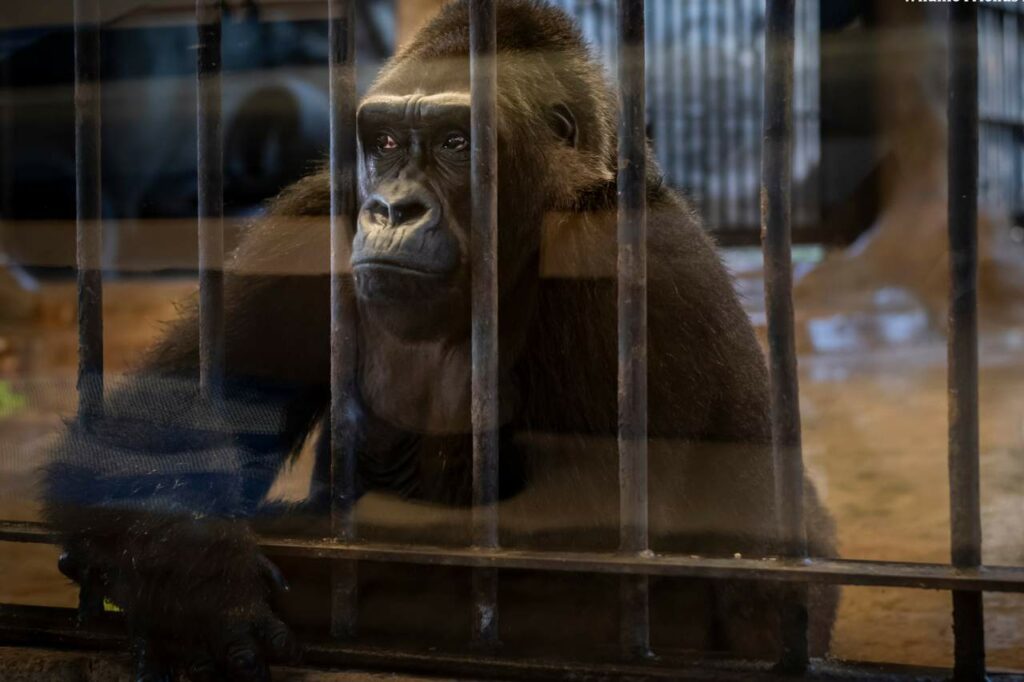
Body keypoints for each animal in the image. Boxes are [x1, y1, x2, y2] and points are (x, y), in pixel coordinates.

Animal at [43, 1, 837, 679]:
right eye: (388, 142)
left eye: (458, 143)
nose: (393, 209)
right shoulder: (310, 221)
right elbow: (143, 436)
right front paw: (192, 573)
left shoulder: (626, 248)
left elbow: (590, 570)